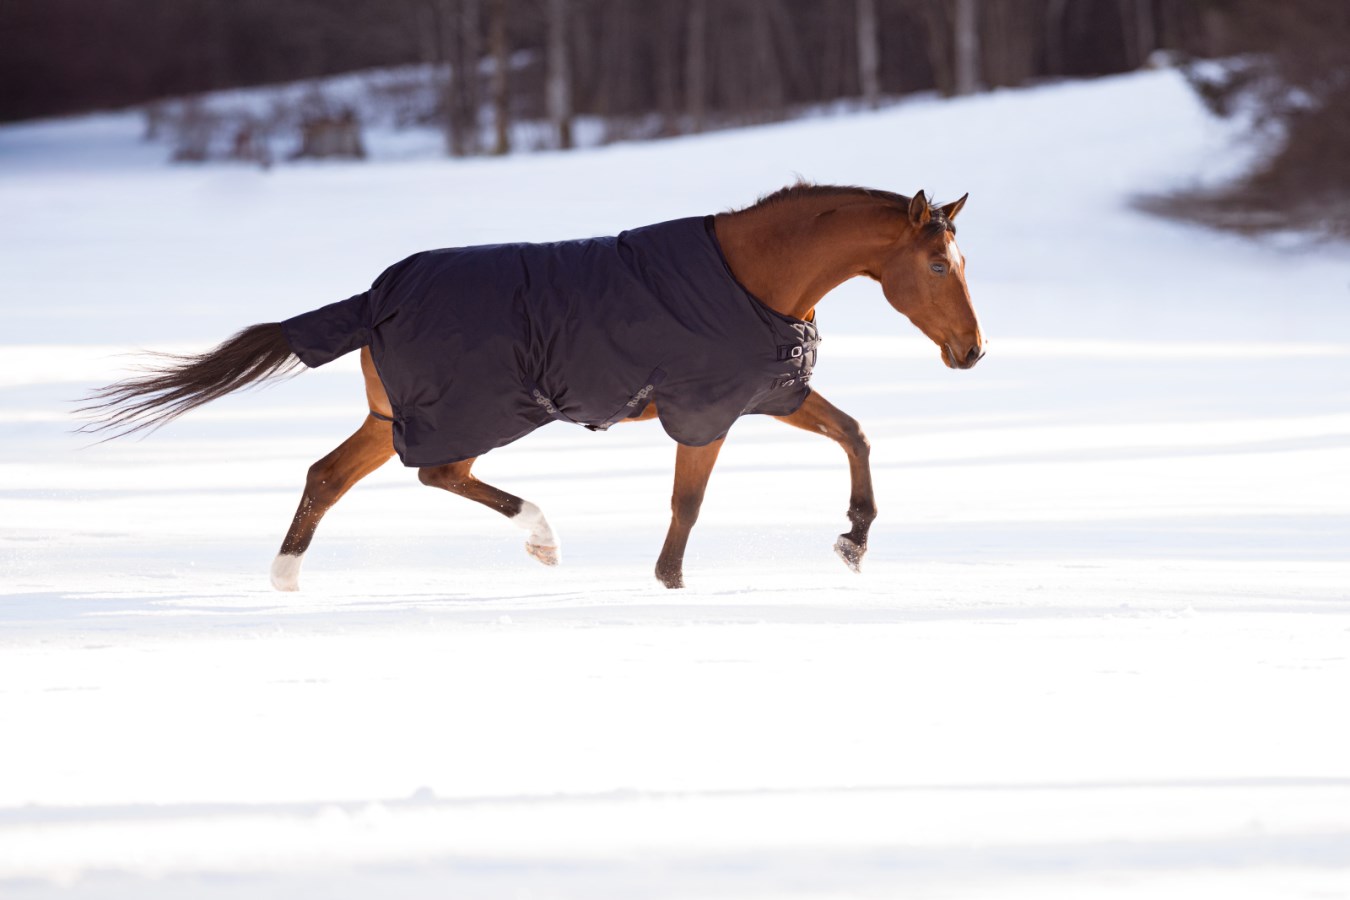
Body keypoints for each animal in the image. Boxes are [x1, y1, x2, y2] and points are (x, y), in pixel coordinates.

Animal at [81, 183, 983, 591]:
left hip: (392, 413)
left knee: (328, 475)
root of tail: (375, 298)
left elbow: (855, 433)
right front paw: (670, 584)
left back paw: (286, 578)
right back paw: (541, 536)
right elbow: (688, 503)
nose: (972, 352)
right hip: (474, 412)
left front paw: (854, 541)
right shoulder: (705, 410)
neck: (753, 278)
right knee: (440, 473)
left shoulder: (769, 392)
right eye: (940, 265)